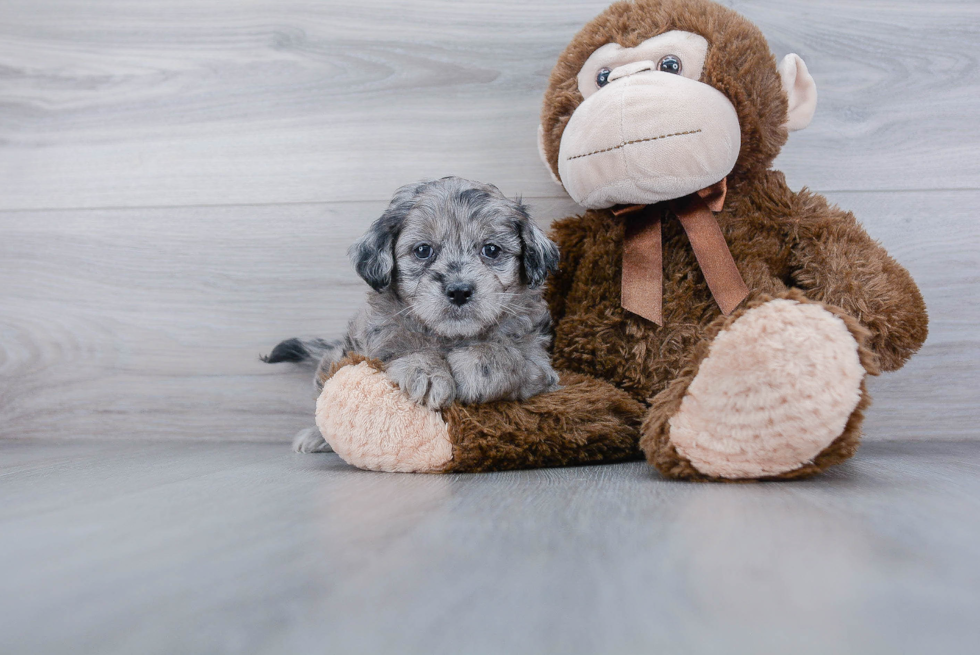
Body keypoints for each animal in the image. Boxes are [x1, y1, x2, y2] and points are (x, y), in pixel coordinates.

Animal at [266, 177, 560, 454]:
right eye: (422, 250)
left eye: (491, 250)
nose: (459, 291)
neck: (451, 338)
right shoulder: (376, 345)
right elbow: (405, 349)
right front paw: (426, 372)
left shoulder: (541, 367)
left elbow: (512, 356)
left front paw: (477, 366)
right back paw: (316, 437)